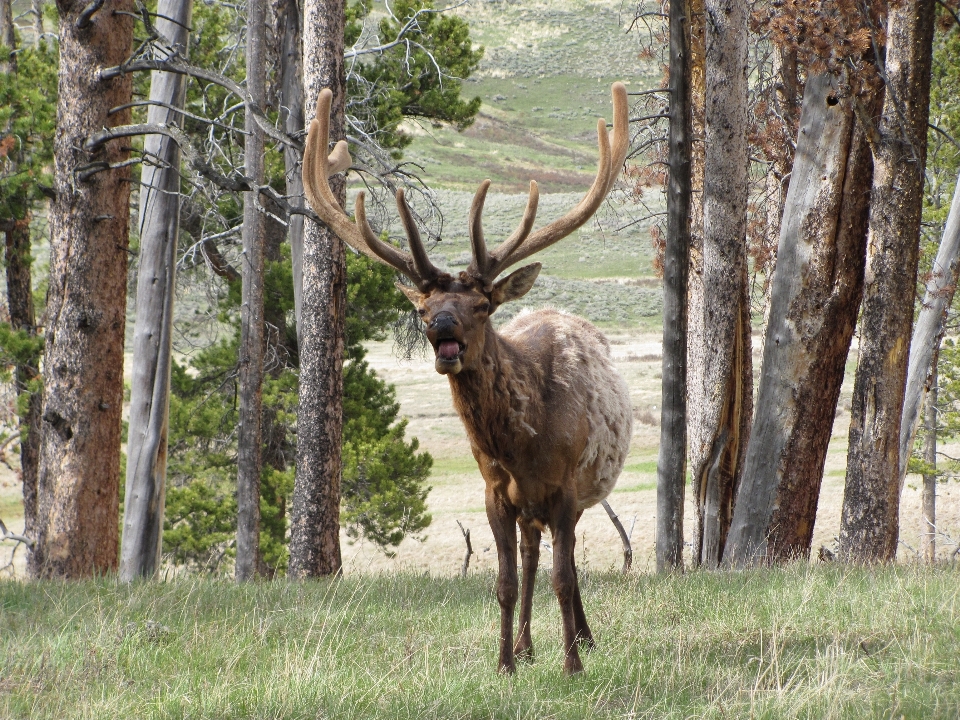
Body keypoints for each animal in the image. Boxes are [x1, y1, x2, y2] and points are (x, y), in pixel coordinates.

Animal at [304, 84, 632, 676]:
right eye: (421, 307)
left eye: (481, 305)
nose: (441, 327)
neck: (525, 443)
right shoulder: (495, 493)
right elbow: (504, 582)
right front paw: (503, 664)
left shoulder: (566, 491)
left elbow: (565, 576)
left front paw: (573, 664)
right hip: (529, 510)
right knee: (529, 557)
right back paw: (526, 646)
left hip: (577, 496)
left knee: (559, 564)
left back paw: (582, 638)